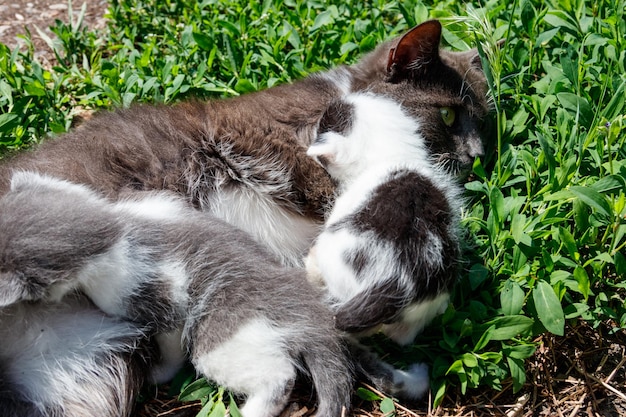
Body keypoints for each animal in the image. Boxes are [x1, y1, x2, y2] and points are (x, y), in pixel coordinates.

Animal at [0, 170, 352, 416]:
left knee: (278, 377)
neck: (118, 224)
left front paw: (159, 374)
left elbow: (170, 344)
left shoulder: (159, 300)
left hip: (220, 338)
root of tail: (310, 316)